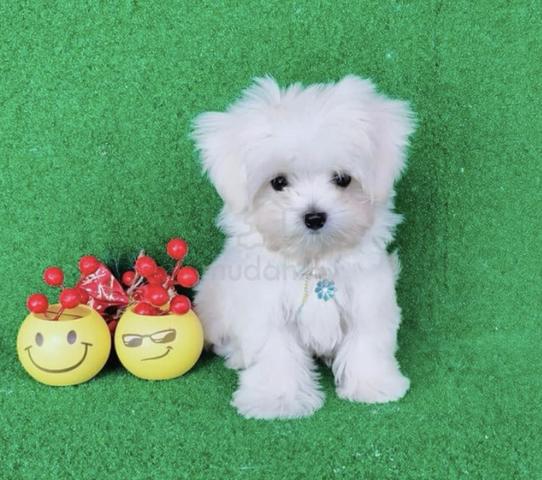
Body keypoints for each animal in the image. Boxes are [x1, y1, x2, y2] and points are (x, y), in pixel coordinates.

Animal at [191, 76, 416, 420]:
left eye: (342, 179)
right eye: (278, 182)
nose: (314, 217)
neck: (314, 261)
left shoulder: (369, 299)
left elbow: (367, 341)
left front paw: (373, 385)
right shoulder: (267, 310)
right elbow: (276, 353)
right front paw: (277, 399)